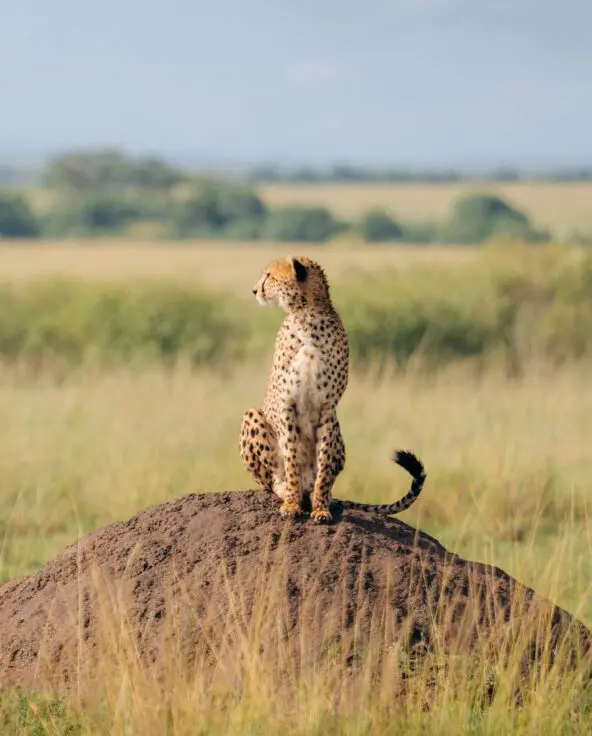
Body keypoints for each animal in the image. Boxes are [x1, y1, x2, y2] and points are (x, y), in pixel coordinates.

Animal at [239, 255, 426, 523]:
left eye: (269, 276)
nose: (255, 290)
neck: (307, 315)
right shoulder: (287, 404)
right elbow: (291, 457)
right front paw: (292, 504)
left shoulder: (327, 407)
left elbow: (325, 462)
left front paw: (320, 508)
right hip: (252, 415)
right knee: (271, 480)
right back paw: (287, 491)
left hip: (337, 426)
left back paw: (318, 496)